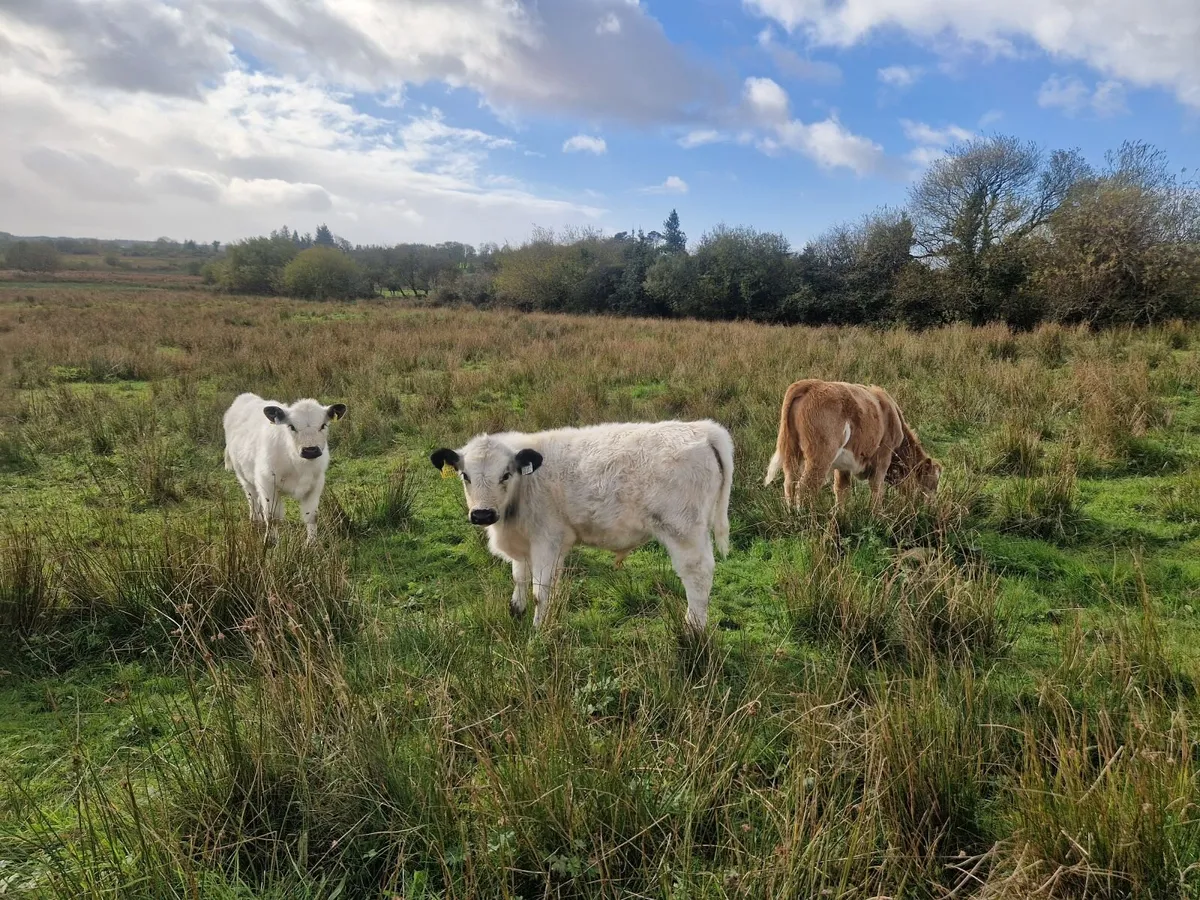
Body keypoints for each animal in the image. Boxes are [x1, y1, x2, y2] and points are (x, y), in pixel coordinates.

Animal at [222, 393, 347, 543]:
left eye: (323, 425)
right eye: (291, 426)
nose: (310, 450)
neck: (298, 465)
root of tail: (245, 397)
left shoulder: (315, 485)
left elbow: (311, 516)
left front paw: (311, 543)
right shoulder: (267, 484)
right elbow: (272, 517)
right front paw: (270, 542)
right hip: (244, 478)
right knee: (252, 500)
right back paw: (255, 521)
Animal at [430, 420, 734, 633]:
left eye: (506, 474)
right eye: (464, 475)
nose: (482, 514)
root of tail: (702, 429)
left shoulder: (548, 541)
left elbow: (541, 591)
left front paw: (538, 630)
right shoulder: (524, 542)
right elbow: (519, 578)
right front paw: (516, 612)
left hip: (684, 532)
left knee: (697, 577)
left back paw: (692, 631)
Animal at [764, 379, 940, 509]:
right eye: (932, 483)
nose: (930, 508)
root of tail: (811, 384)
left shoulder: (843, 467)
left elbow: (842, 490)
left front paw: (841, 516)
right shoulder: (883, 456)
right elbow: (877, 488)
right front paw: (877, 516)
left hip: (792, 452)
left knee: (790, 483)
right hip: (820, 456)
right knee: (806, 487)